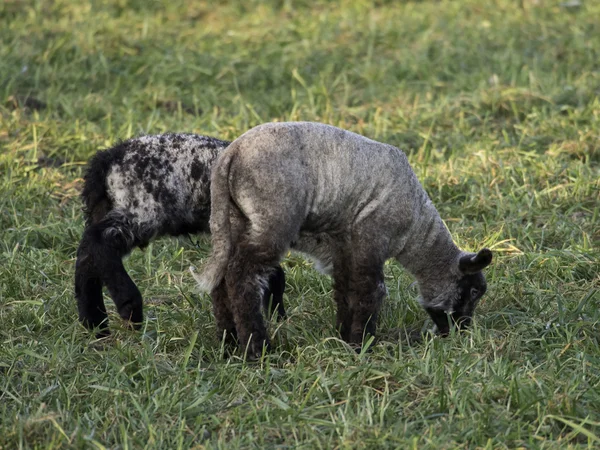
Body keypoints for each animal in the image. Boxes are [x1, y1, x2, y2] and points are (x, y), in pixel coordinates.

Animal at [75, 134, 286, 338]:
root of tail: (109, 156)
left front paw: (279, 318)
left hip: (108, 208)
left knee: (87, 255)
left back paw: (94, 324)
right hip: (143, 209)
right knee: (99, 241)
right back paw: (128, 306)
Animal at [197, 121, 492, 356]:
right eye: (473, 291)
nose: (461, 332)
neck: (416, 229)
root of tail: (231, 155)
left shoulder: (343, 247)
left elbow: (345, 291)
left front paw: (344, 337)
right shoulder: (372, 237)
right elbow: (369, 292)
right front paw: (362, 345)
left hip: (232, 220)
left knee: (222, 279)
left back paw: (228, 343)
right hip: (273, 218)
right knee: (242, 278)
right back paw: (257, 349)